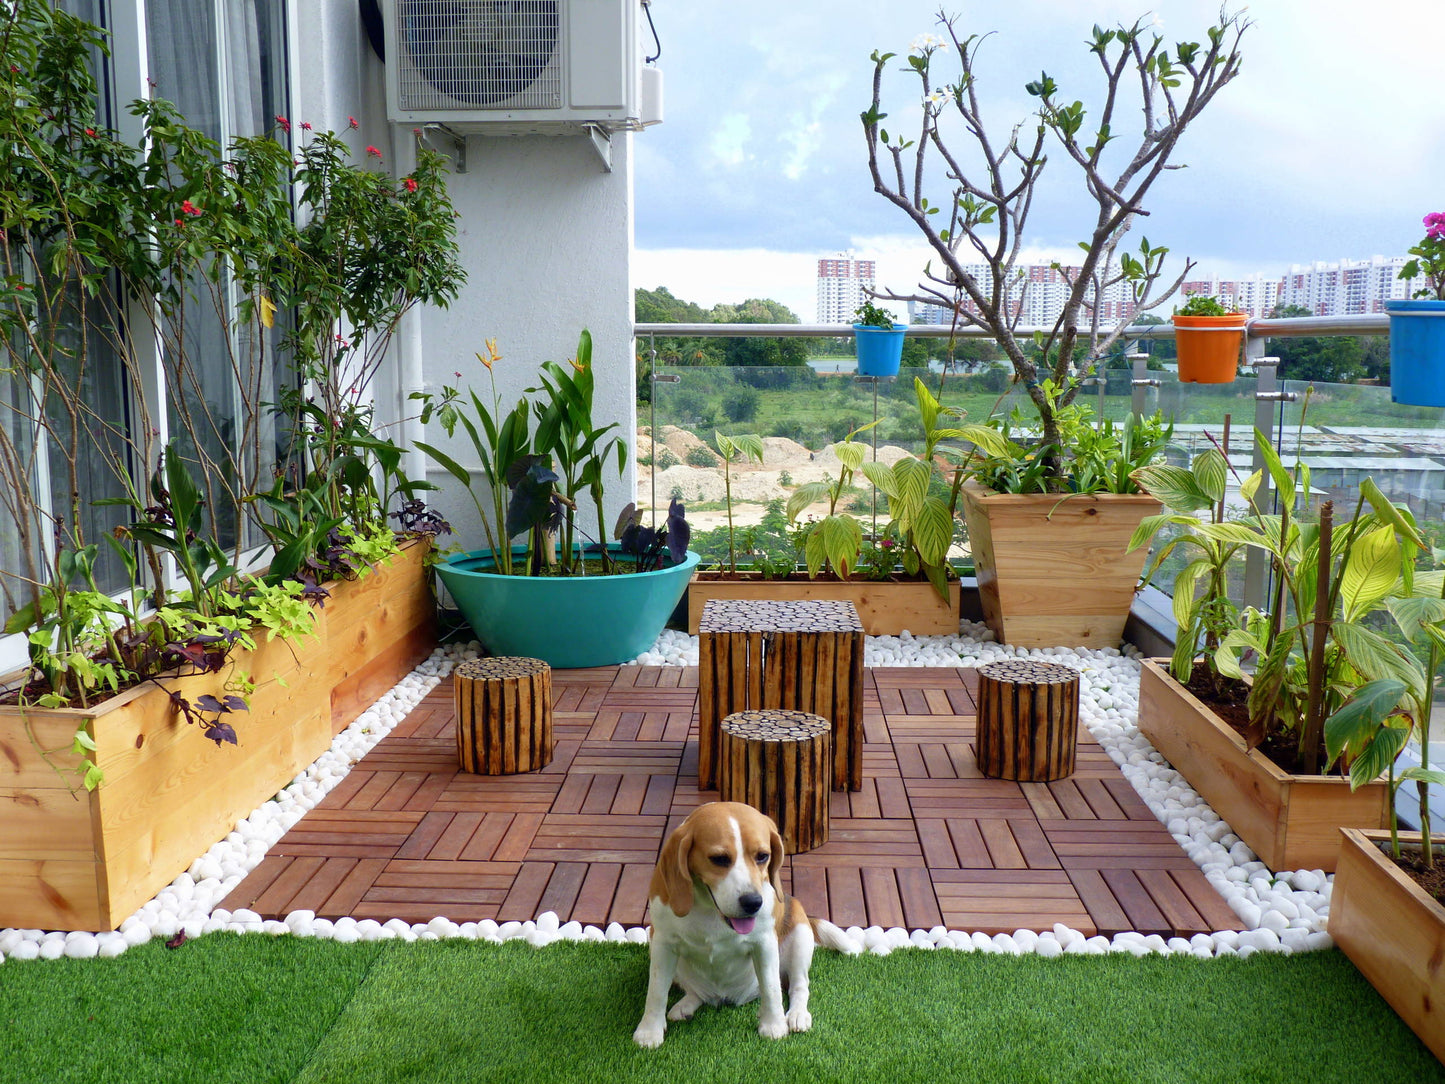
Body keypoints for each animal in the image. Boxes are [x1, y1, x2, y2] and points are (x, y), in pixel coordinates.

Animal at [632, 803, 855, 1046]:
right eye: (719, 858)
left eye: (763, 856)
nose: (753, 902)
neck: (712, 911)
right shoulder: (662, 943)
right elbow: (656, 991)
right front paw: (649, 1031)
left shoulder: (765, 944)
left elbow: (771, 988)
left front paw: (773, 1025)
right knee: (695, 992)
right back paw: (686, 1005)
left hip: (799, 935)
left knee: (797, 986)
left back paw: (796, 1015)